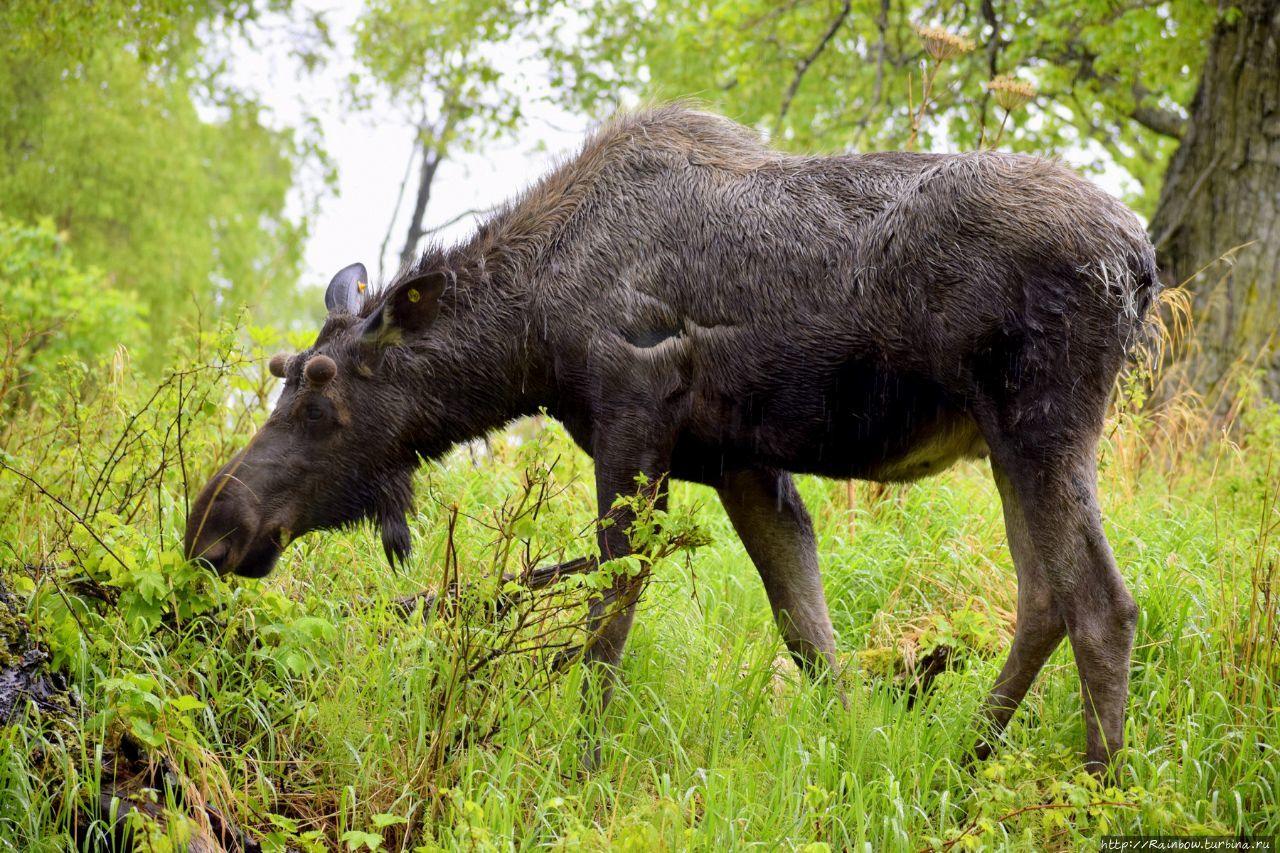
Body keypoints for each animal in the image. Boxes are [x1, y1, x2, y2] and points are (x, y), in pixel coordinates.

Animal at [186, 106, 1162, 768]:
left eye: (322, 394)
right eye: (285, 373)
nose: (211, 522)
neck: (532, 340)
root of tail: (1142, 262)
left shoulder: (635, 424)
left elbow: (606, 628)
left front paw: (576, 767)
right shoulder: (742, 462)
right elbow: (808, 632)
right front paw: (852, 751)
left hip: (1042, 424)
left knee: (1101, 603)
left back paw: (1090, 788)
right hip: (1008, 443)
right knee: (1043, 597)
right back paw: (967, 756)